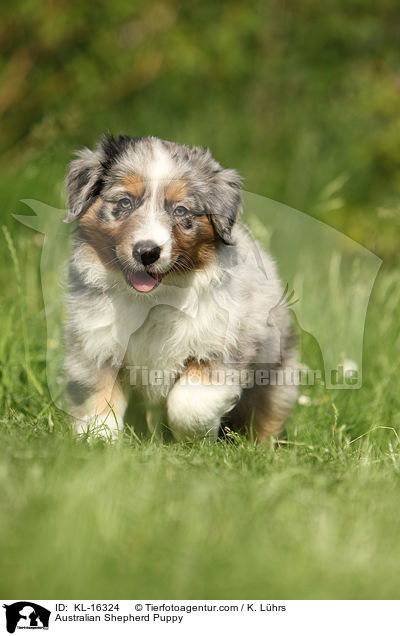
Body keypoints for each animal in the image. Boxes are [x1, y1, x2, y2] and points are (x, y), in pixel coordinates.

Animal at [65, 134, 296, 442]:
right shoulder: (96, 344)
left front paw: (194, 439)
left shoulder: (223, 346)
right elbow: (99, 397)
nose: (147, 252)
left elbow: (188, 401)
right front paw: (96, 440)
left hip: (276, 374)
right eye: (125, 202)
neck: (153, 299)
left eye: (180, 210)